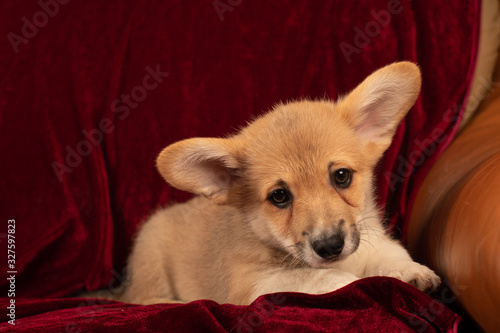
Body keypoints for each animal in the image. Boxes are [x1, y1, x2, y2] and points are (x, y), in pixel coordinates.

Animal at [119, 61, 440, 304]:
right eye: (279, 196)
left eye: (342, 176)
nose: (330, 246)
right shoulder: (255, 283)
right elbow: (321, 278)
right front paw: (354, 281)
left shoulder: (372, 243)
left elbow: (391, 255)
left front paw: (409, 271)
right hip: (151, 259)